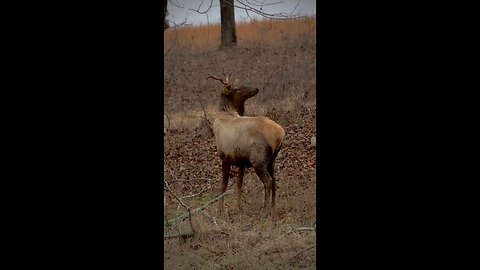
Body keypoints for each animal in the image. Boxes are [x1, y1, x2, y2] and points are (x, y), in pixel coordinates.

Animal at [206, 73, 284, 214]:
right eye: (236, 88)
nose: (256, 88)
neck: (223, 115)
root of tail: (280, 133)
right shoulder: (241, 161)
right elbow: (239, 184)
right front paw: (239, 207)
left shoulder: (225, 157)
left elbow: (223, 186)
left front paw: (220, 210)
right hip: (272, 159)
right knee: (274, 180)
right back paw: (273, 207)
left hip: (258, 159)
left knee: (268, 181)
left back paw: (265, 208)